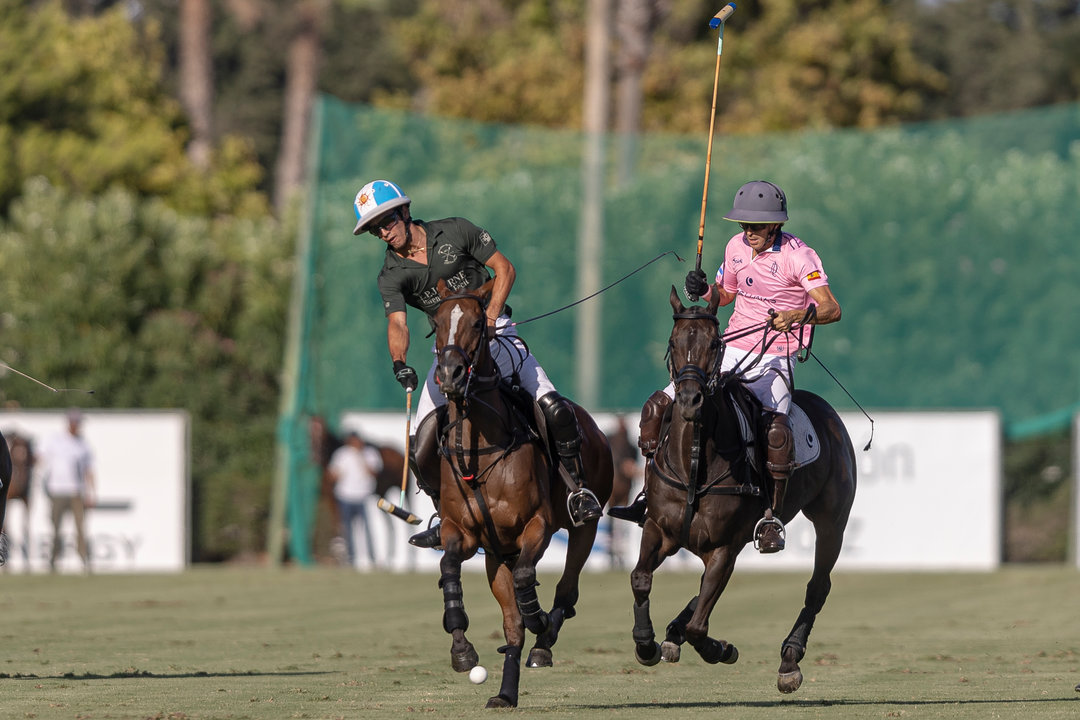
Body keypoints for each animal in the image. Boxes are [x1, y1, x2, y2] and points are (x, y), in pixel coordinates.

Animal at [432, 278, 617, 708]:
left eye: (477, 323)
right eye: (436, 322)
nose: (450, 375)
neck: (480, 447)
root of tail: (596, 428)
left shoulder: (537, 526)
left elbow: (525, 579)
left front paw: (540, 619)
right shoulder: (465, 534)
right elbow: (450, 568)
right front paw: (463, 650)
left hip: (585, 525)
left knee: (566, 589)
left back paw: (543, 642)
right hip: (495, 555)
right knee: (512, 620)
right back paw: (507, 688)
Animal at [630, 284, 855, 690]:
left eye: (714, 343)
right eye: (672, 342)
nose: (689, 400)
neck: (694, 465)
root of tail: (829, 414)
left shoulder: (723, 546)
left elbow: (701, 626)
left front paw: (720, 649)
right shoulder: (658, 528)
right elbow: (641, 578)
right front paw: (646, 643)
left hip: (832, 521)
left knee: (818, 587)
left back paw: (790, 659)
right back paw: (671, 633)